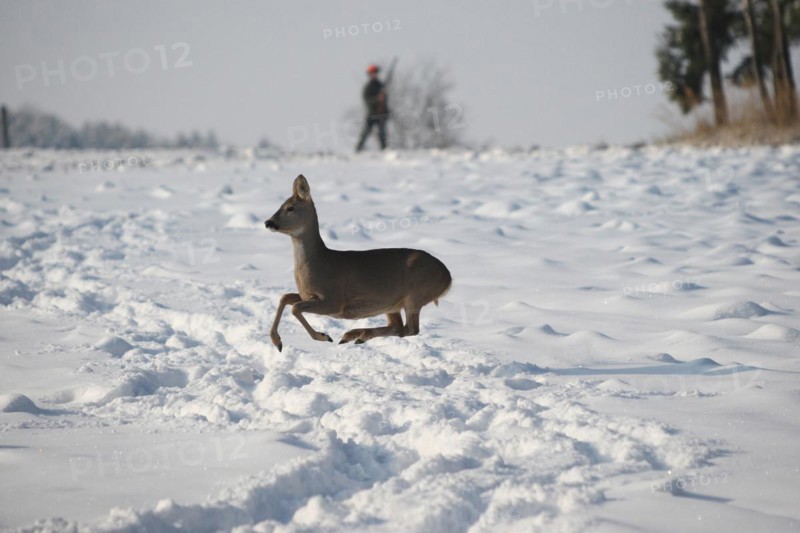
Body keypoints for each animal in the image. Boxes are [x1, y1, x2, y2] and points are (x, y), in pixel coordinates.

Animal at [264, 175, 452, 351]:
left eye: (290, 208)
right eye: (281, 204)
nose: (268, 222)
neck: (318, 261)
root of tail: (448, 278)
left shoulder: (334, 299)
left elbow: (295, 307)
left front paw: (323, 336)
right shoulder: (307, 295)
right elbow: (285, 298)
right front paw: (277, 342)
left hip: (415, 294)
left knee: (411, 329)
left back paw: (354, 335)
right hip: (393, 303)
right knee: (398, 327)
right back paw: (354, 336)